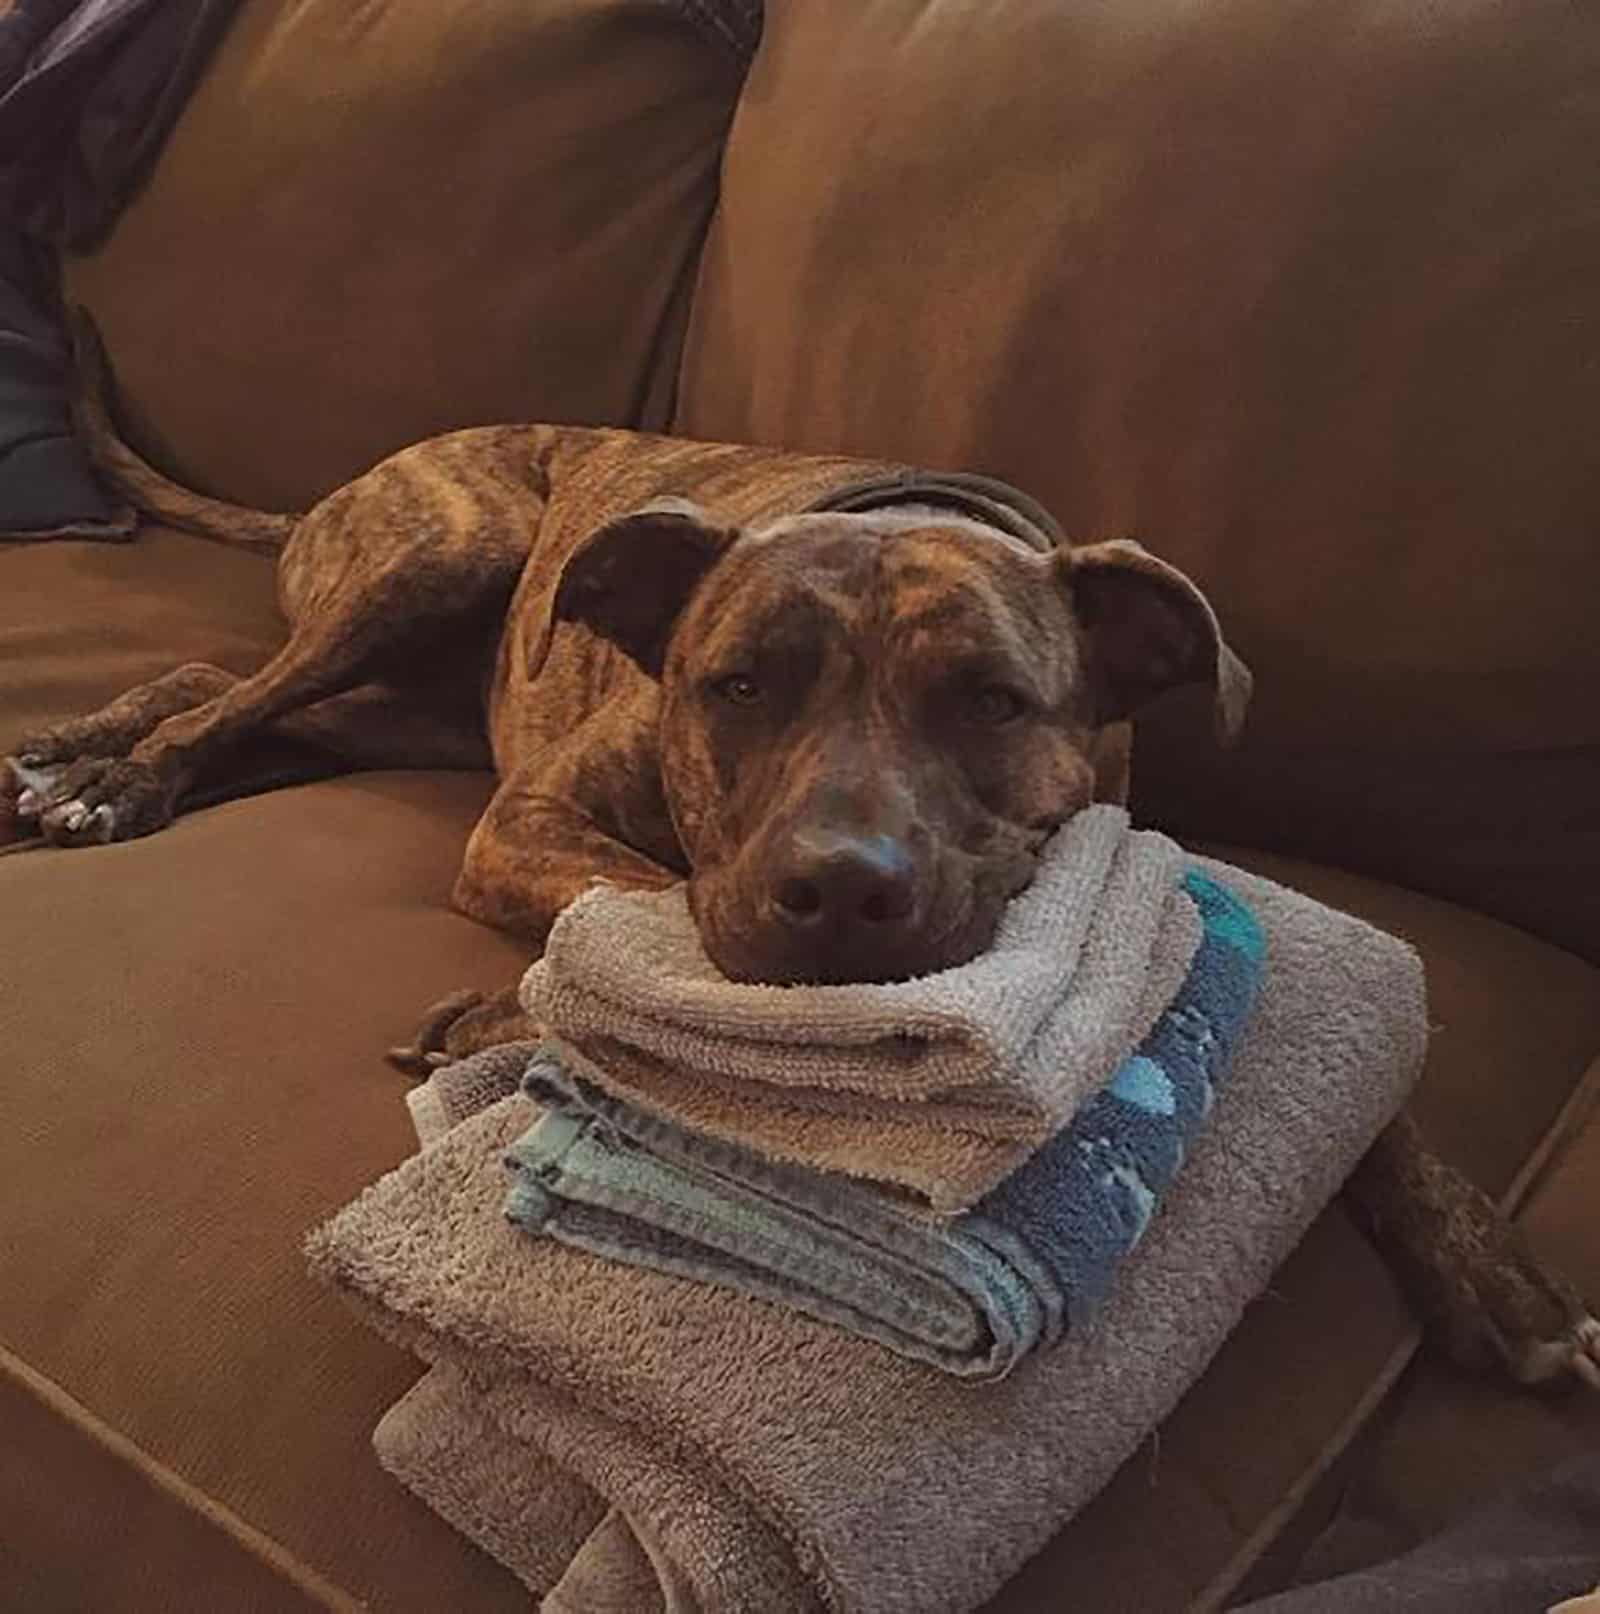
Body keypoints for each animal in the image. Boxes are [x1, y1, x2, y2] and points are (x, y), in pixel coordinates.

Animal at [6, 347, 1595, 1394]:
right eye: (738, 685)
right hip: (445, 553)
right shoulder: (530, 817)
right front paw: (510, 1011)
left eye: (991, 701)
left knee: (229, 692)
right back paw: (99, 774)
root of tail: (364, 477)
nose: (840, 890)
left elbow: (1371, 1099)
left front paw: (1492, 1270)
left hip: (413, 689)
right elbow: (634, 911)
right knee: (231, 694)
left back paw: (81, 757)